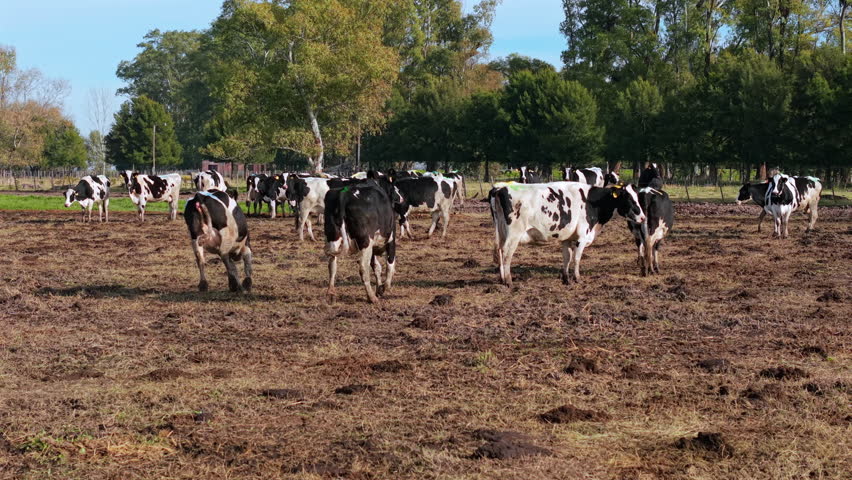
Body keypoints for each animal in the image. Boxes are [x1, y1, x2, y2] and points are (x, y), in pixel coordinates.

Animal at [488, 182, 645, 288]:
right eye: (628, 198)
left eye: (638, 197)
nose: (643, 217)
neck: (592, 202)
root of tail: (500, 188)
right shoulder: (582, 237)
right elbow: (576, 258)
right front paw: (577, 278)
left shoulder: (567, 237)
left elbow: (567, 257)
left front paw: (566, 279)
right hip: (513, 234)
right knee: (506, 253)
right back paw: (508, 281)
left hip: (501, 231)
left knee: (499, 251)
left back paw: (502, 279)